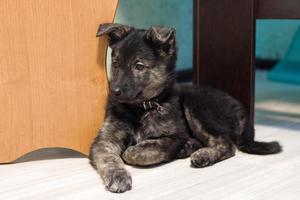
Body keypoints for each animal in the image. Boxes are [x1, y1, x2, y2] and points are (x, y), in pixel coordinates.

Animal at [89, 22, 282, 193]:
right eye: (115, 63)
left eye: (139, 66)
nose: (114, 92)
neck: (141, 108)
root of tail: (241, 111)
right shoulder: (106, 139)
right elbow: (109, 158)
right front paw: (118, 176)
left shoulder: (174, 136)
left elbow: (139, 151)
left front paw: (133, 151)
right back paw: (188, 148)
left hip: (195, 104)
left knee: (226, 144)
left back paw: (203, 155)